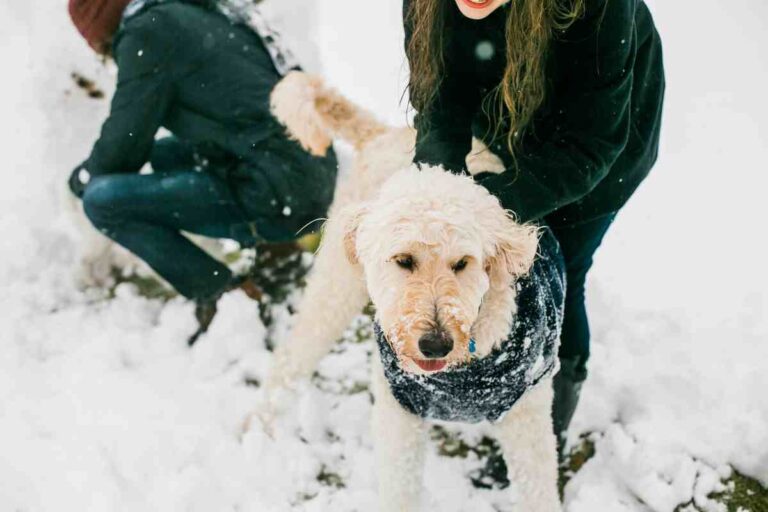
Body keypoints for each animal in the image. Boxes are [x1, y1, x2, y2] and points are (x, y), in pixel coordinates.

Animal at [255, 72, 560, 512]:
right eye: (403, 260)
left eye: (462, 262)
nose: (435, 343)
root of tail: (384, 133)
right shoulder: (397, 414)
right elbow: (399, 488)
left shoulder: (528, 418)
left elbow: (539, 492)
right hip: (335, 287)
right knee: (291, 357)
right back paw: (259, 427)